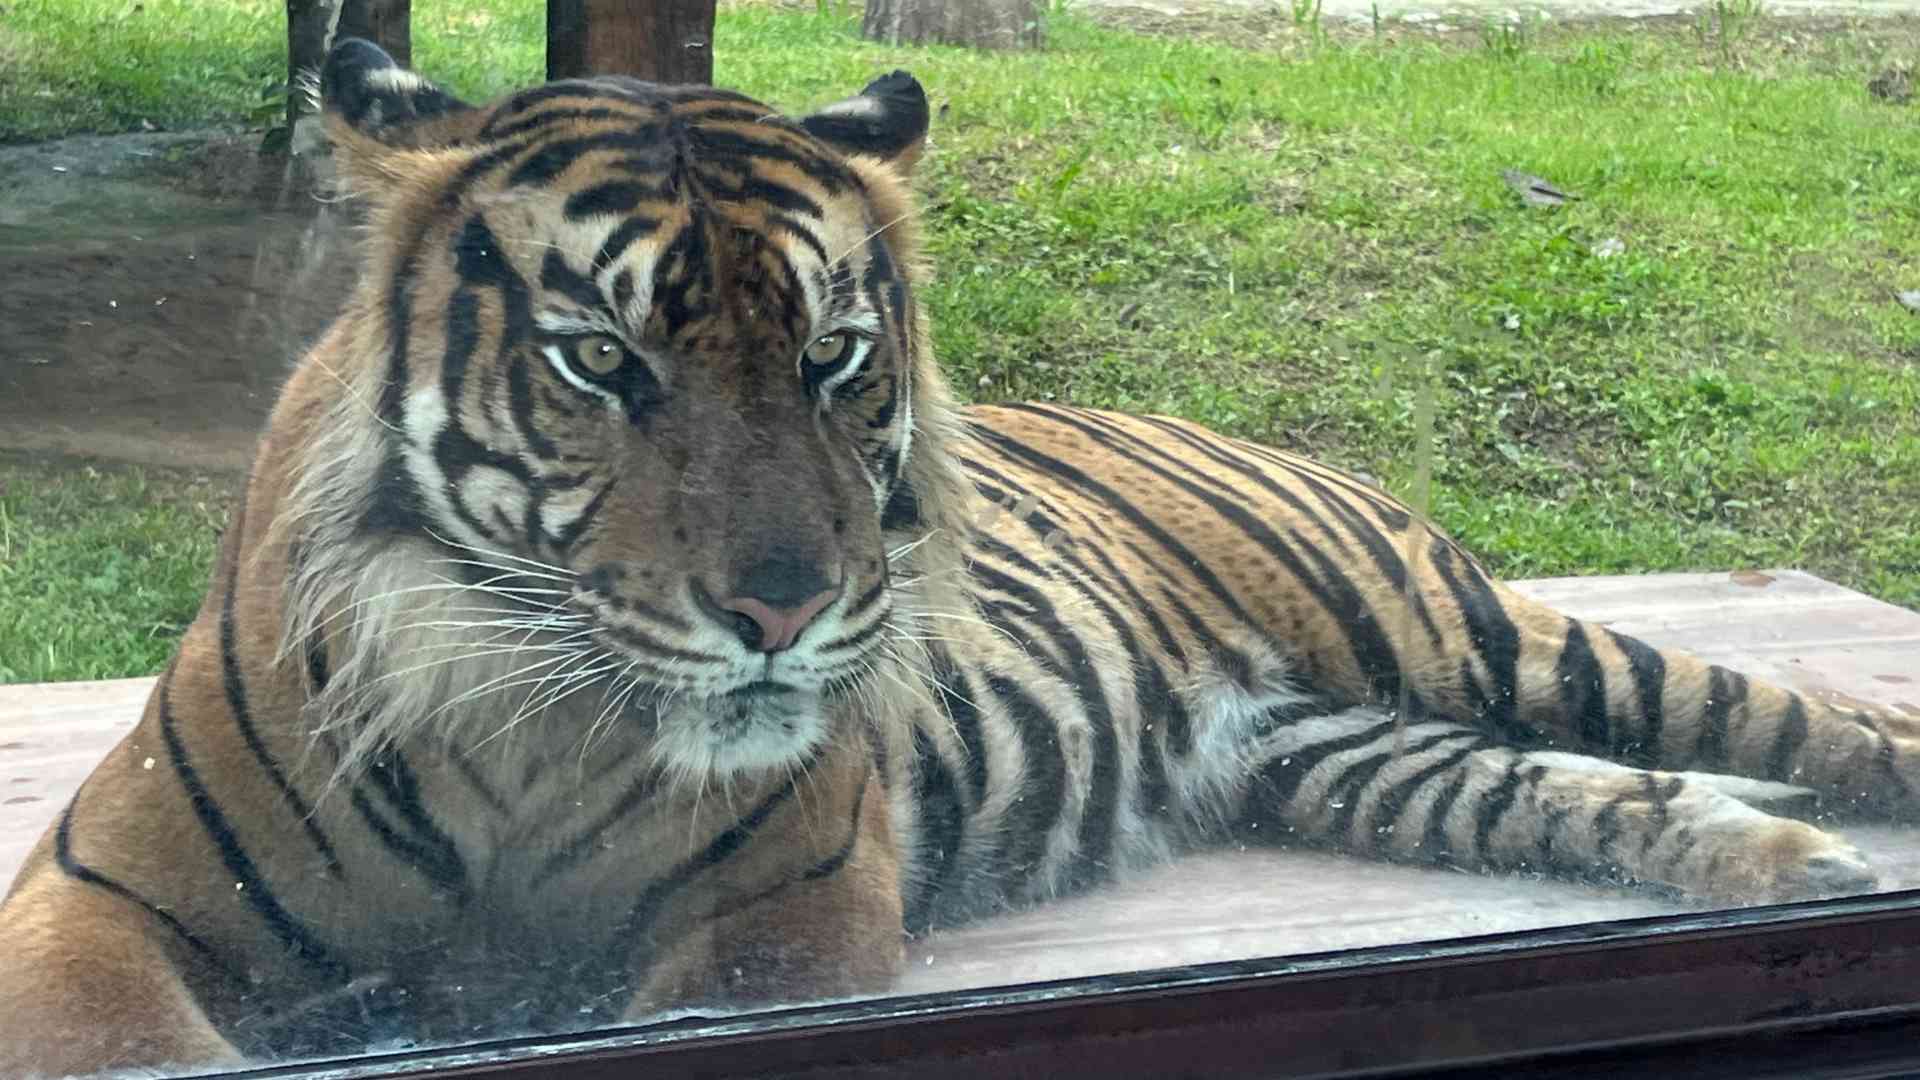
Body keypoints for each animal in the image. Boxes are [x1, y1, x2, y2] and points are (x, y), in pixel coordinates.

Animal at [2, 37, 1914, 1078]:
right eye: (600, 361)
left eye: (840, 356)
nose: (782, 609)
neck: (521, 727)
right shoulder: (98, 898)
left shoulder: (784, 915)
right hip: (1345, 753)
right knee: (1577, 789)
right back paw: (1784, 867)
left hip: (1472, 635)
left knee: (1781, 715)